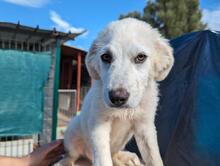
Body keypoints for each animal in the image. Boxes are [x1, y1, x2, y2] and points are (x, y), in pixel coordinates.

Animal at [63, 18, 174, 166]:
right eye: (106, 57)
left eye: (141, 57)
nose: (117, 98)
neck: (123, 112)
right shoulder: (99, 125)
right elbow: (104, 160)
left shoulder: (145, 126)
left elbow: (154, 157)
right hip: (72, 130)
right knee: (71, 154)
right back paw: (65, 161)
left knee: (113, 153)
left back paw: (127, 158)